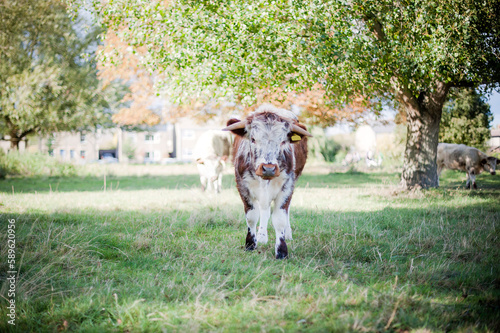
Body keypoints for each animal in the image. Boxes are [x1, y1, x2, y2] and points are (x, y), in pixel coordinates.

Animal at [224, 105, 312, 258]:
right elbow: (252, 216)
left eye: (283, 141)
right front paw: (250, 244)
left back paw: (287, 233)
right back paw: (262, 235)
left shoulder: (287, 188)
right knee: (264, 209)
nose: (268, 169)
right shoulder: (243, 188)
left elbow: (280, 219)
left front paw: (281, 250)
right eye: (253, 139)